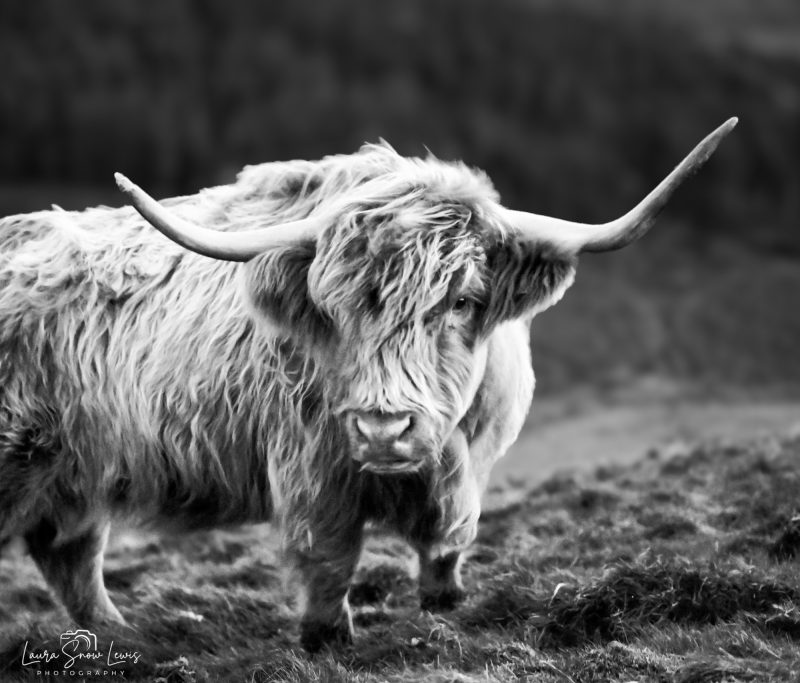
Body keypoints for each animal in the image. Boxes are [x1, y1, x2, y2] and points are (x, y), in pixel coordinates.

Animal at [0, 119, 735, 651]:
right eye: (336, 306)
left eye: (463, 299)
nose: (385, 427)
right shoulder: (310, 467)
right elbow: (329, 553)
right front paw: (327, 635)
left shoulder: (473, 463)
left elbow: (450, 540)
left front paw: (445, 603)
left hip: (76, 470)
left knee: (68, 550)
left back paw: (121, 633)